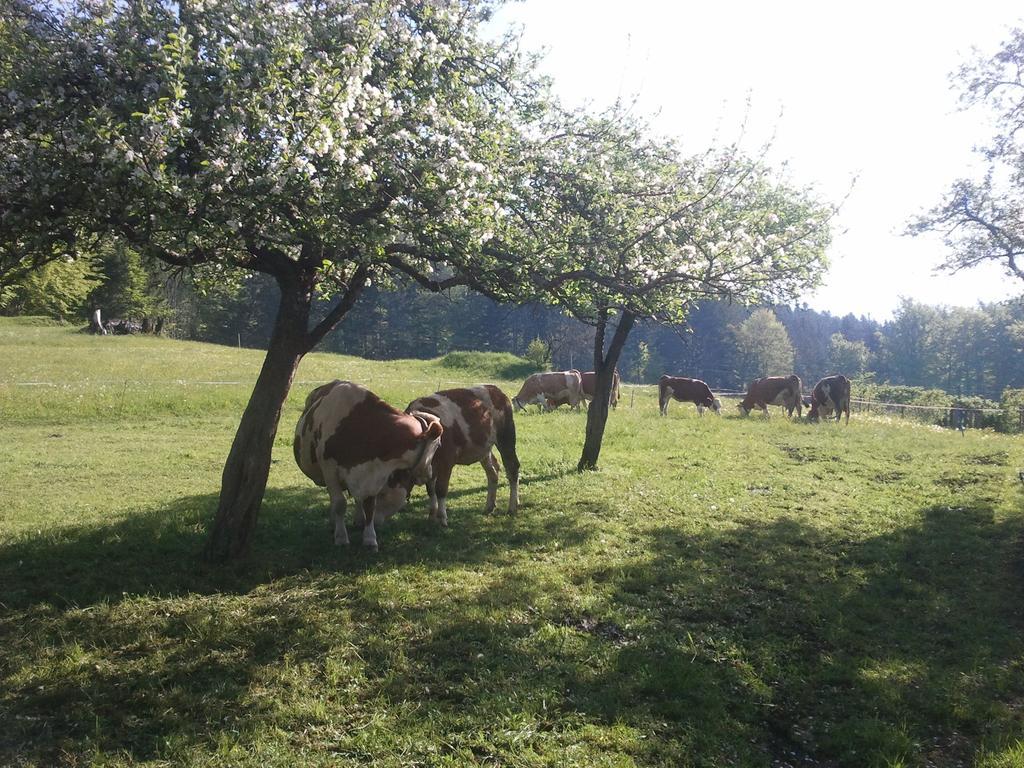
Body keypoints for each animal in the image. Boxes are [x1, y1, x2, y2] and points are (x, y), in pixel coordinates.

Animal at [292, 380, 444, 548]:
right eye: (438, 445)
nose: (430, 473)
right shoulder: (329, 470)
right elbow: (339, 504)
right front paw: (341, 537)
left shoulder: (373, 474)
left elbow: (369, 505)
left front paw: (370, 538)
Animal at [405, 385, 520, 528]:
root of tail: (494, 389)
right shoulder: (431, 467)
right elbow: (430, 490)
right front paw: (431, 516)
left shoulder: (446, 462)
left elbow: (440, 490)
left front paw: (442, 518)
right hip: (483, 448)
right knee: (493, 471)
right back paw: (489, 506)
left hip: (506, 437)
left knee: (512, 468)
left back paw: (512, 507)